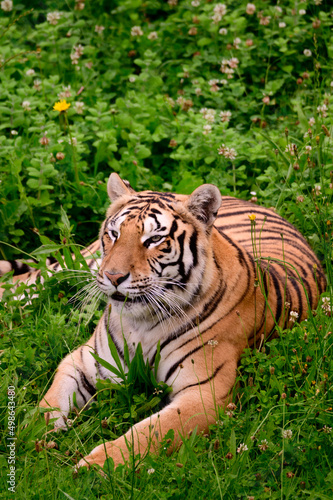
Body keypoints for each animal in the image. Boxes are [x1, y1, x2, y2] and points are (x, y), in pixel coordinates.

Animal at [0, 172, 326, 468]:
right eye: (115, 234)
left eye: (154, 239)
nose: (113, 277)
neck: (142, 323)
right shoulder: (82, 359)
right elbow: (50, 403)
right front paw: (28, 435)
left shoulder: (204, 393)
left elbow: (149, 433)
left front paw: (99, 466)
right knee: (27, 280)